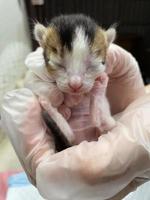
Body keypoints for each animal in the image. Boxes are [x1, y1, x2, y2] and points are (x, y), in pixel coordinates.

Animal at [25, 13, 115, 150]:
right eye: (59, 65)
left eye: (92, 66)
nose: (75, 84)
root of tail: (83, 141)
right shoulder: (32, 75)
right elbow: (35, 81)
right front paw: (56, 97)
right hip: (66, 140)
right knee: (69, 133)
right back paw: (48, 106)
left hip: (109, 125)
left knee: (100, 121)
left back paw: (99, 89)